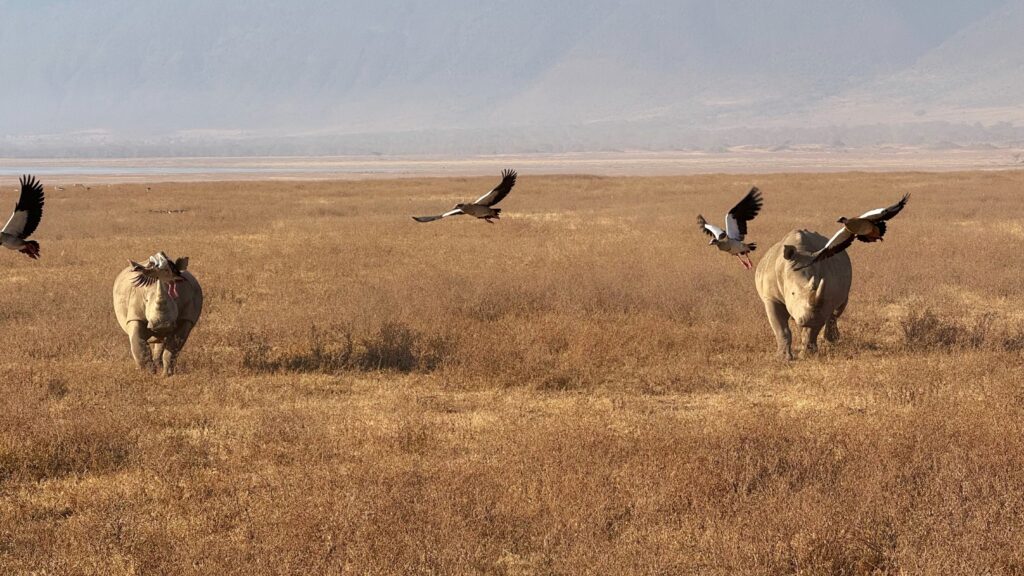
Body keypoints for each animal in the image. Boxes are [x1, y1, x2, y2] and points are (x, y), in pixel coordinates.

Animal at [755, 230, 852, 360]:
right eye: (792, 293)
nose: (811, 319)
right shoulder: (771, 298)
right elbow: (781, 329)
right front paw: (782, 359)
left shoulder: (822, 304)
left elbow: (812, 330)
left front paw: (807, 355)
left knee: (837, 310)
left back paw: (831, 342)